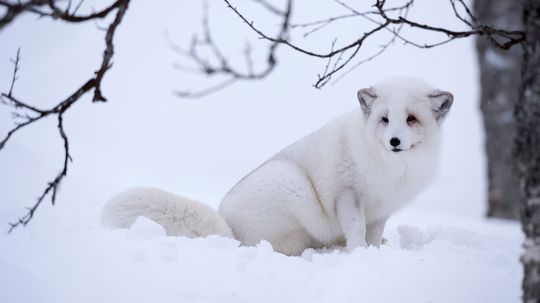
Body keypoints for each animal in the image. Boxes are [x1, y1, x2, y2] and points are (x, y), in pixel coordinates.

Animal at [100, 77, 452, 255]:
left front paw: (376, 251)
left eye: (411, 119)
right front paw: (359, 254)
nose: (394, 141)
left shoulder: (382, 209)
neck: (391, 167)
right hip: (288, 181)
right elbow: (355, 230)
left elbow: (374, 234)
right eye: (385, 119)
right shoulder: (347, 195)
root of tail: (228, 232)